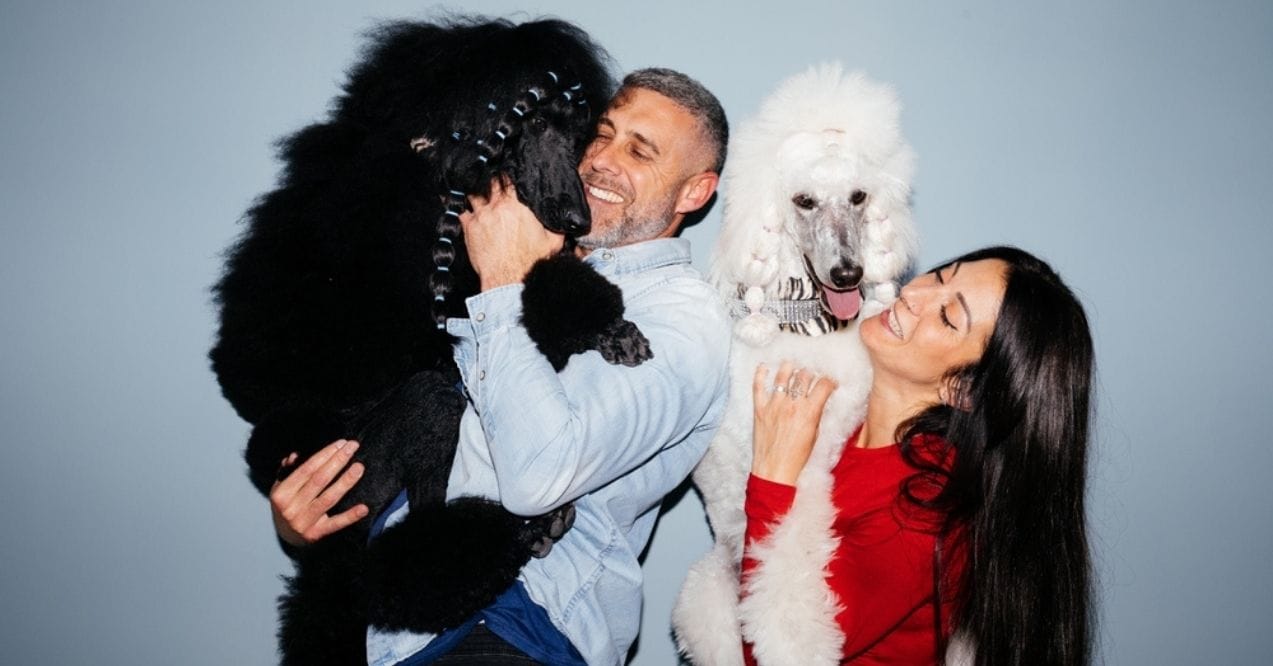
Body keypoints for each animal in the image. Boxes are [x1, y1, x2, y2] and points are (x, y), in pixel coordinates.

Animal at [677, 63, 916, 666]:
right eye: (803, 201)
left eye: (858, 196)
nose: (849, 273)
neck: (802, 325)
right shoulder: (792, 474)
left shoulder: (817, 461)